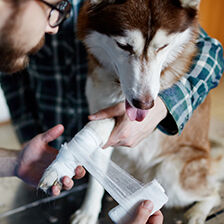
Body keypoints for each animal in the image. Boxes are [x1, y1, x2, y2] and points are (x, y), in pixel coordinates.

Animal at [39, 0, 224, 224]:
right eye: (124, 46)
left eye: (163, 47)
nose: (144, 105)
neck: (115, 84)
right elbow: (96, 177)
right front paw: (88, 212)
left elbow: (96, 126)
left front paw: (57, 168)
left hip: (170, 175)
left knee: (214, 191)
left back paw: (197, 213)